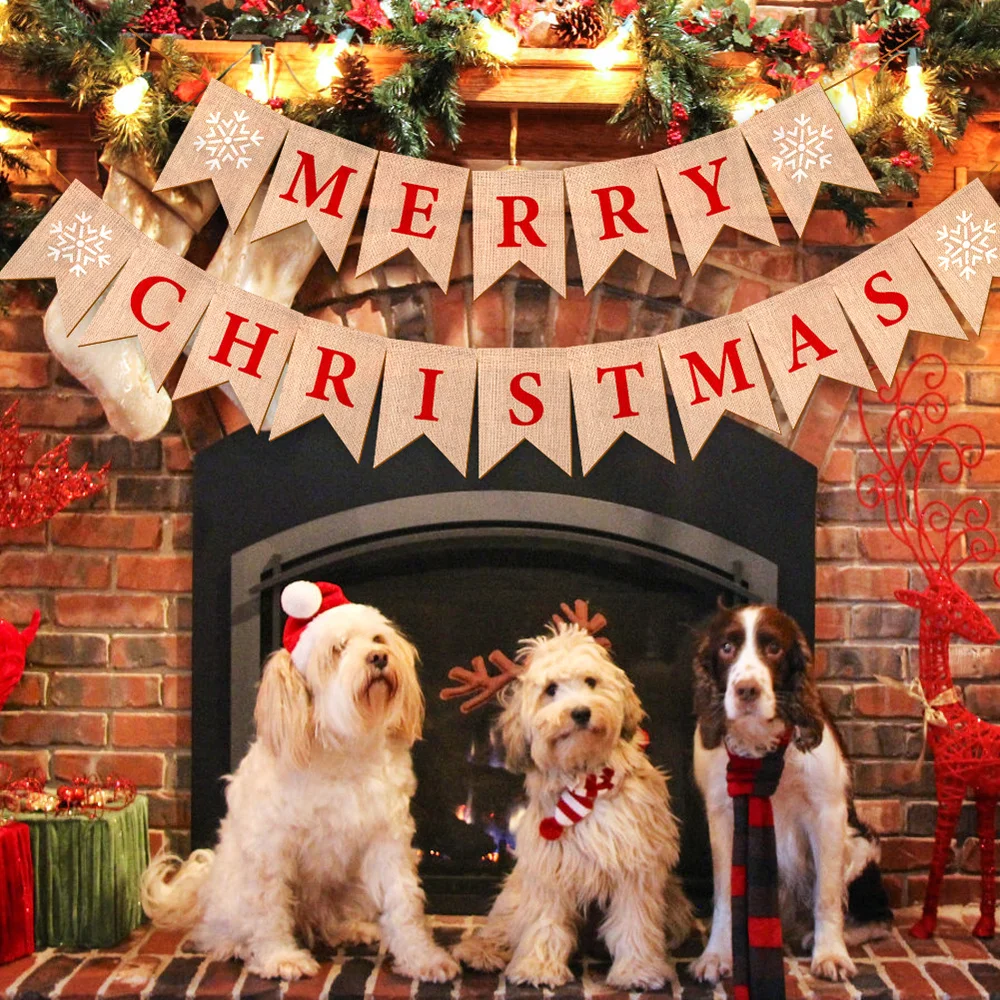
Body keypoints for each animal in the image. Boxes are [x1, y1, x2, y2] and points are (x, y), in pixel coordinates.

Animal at [140, 584, 458, 980]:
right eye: (338, 648)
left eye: (377, 638)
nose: (379, 658)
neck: (343, 748)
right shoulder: (271, 849)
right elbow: (269, 908)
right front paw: (280, 957)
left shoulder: (388, 841)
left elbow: (404, 901)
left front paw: (422, 957)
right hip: (233, 892)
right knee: (219, 929)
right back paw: (234, 944)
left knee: (330, 920)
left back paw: (350, 928)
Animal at [458, 628, 692, 988]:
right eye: (551, 689)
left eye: (591, 681)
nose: (581, 712)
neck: (587, 782)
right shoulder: (549, 869)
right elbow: (545, 922)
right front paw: (538, 967)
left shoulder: (636, 865)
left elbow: (634, 923)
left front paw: (637, 970)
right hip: (515, 891)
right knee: (500, 927)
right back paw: (480, 952)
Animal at [688, 600, 892, 984]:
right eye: (726, 647)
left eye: (773, 648)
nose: (747, 690)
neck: (759, 744)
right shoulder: (721, 813)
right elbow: (725, 892)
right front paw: (717, 953)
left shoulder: (828, 812)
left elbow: (827, 894)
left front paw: (830, 953)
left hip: (861, 845)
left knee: (880, 919)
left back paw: (820, 936)